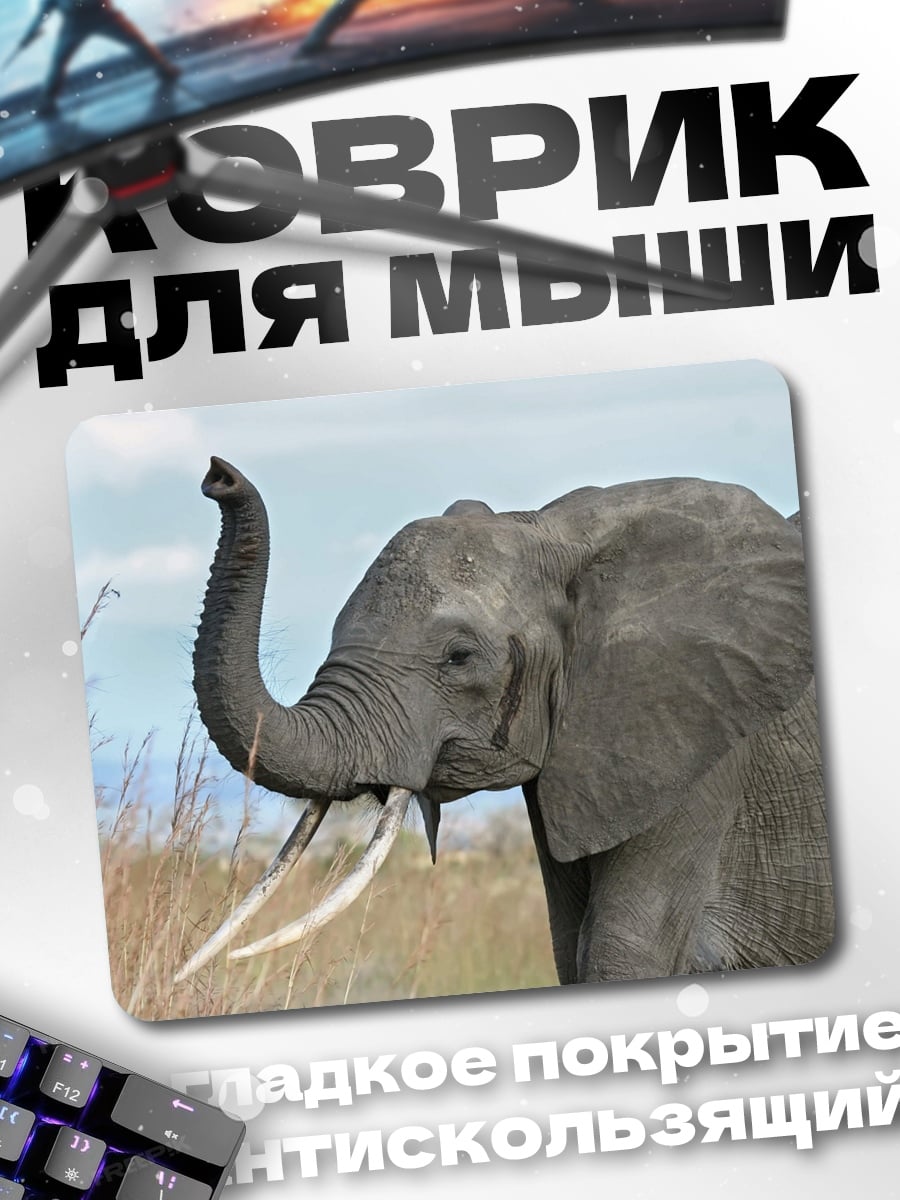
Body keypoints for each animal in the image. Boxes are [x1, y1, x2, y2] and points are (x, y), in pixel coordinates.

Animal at [176, 457, 833, 987]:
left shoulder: (696, 746)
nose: (217, 476)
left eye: (459, 657)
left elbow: (620, 958)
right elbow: (572, 953)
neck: (560, 532)